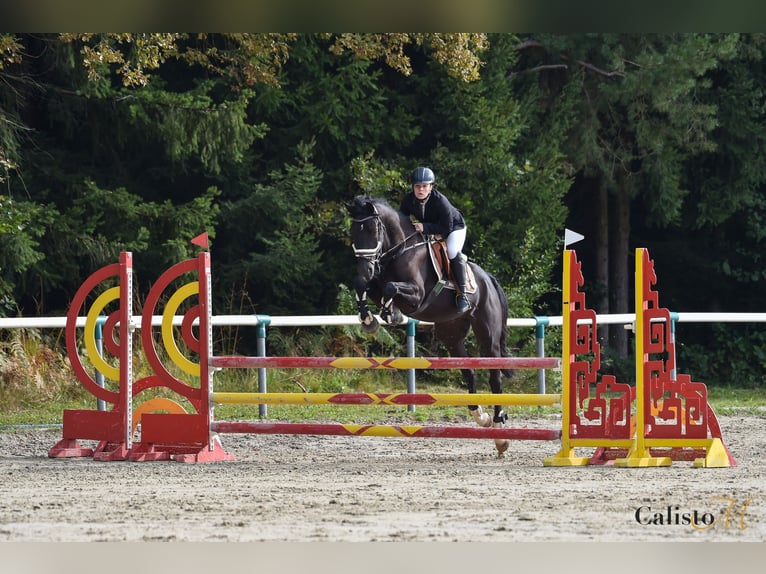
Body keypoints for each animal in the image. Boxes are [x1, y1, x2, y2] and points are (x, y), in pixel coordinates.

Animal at [348, 196, 516, 456]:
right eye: (353, 231)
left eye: (373, 230)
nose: (366, 268)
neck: (399, 251)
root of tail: (488, 278)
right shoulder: (374, 283)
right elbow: (363, 284)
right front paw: (370, 319)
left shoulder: (416, 296)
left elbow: (390, 288)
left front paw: (389, 313)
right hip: (451, 335)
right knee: (469, 371)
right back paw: (480, 415)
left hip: (488, 336)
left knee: (494, 377)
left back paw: (499, 431)